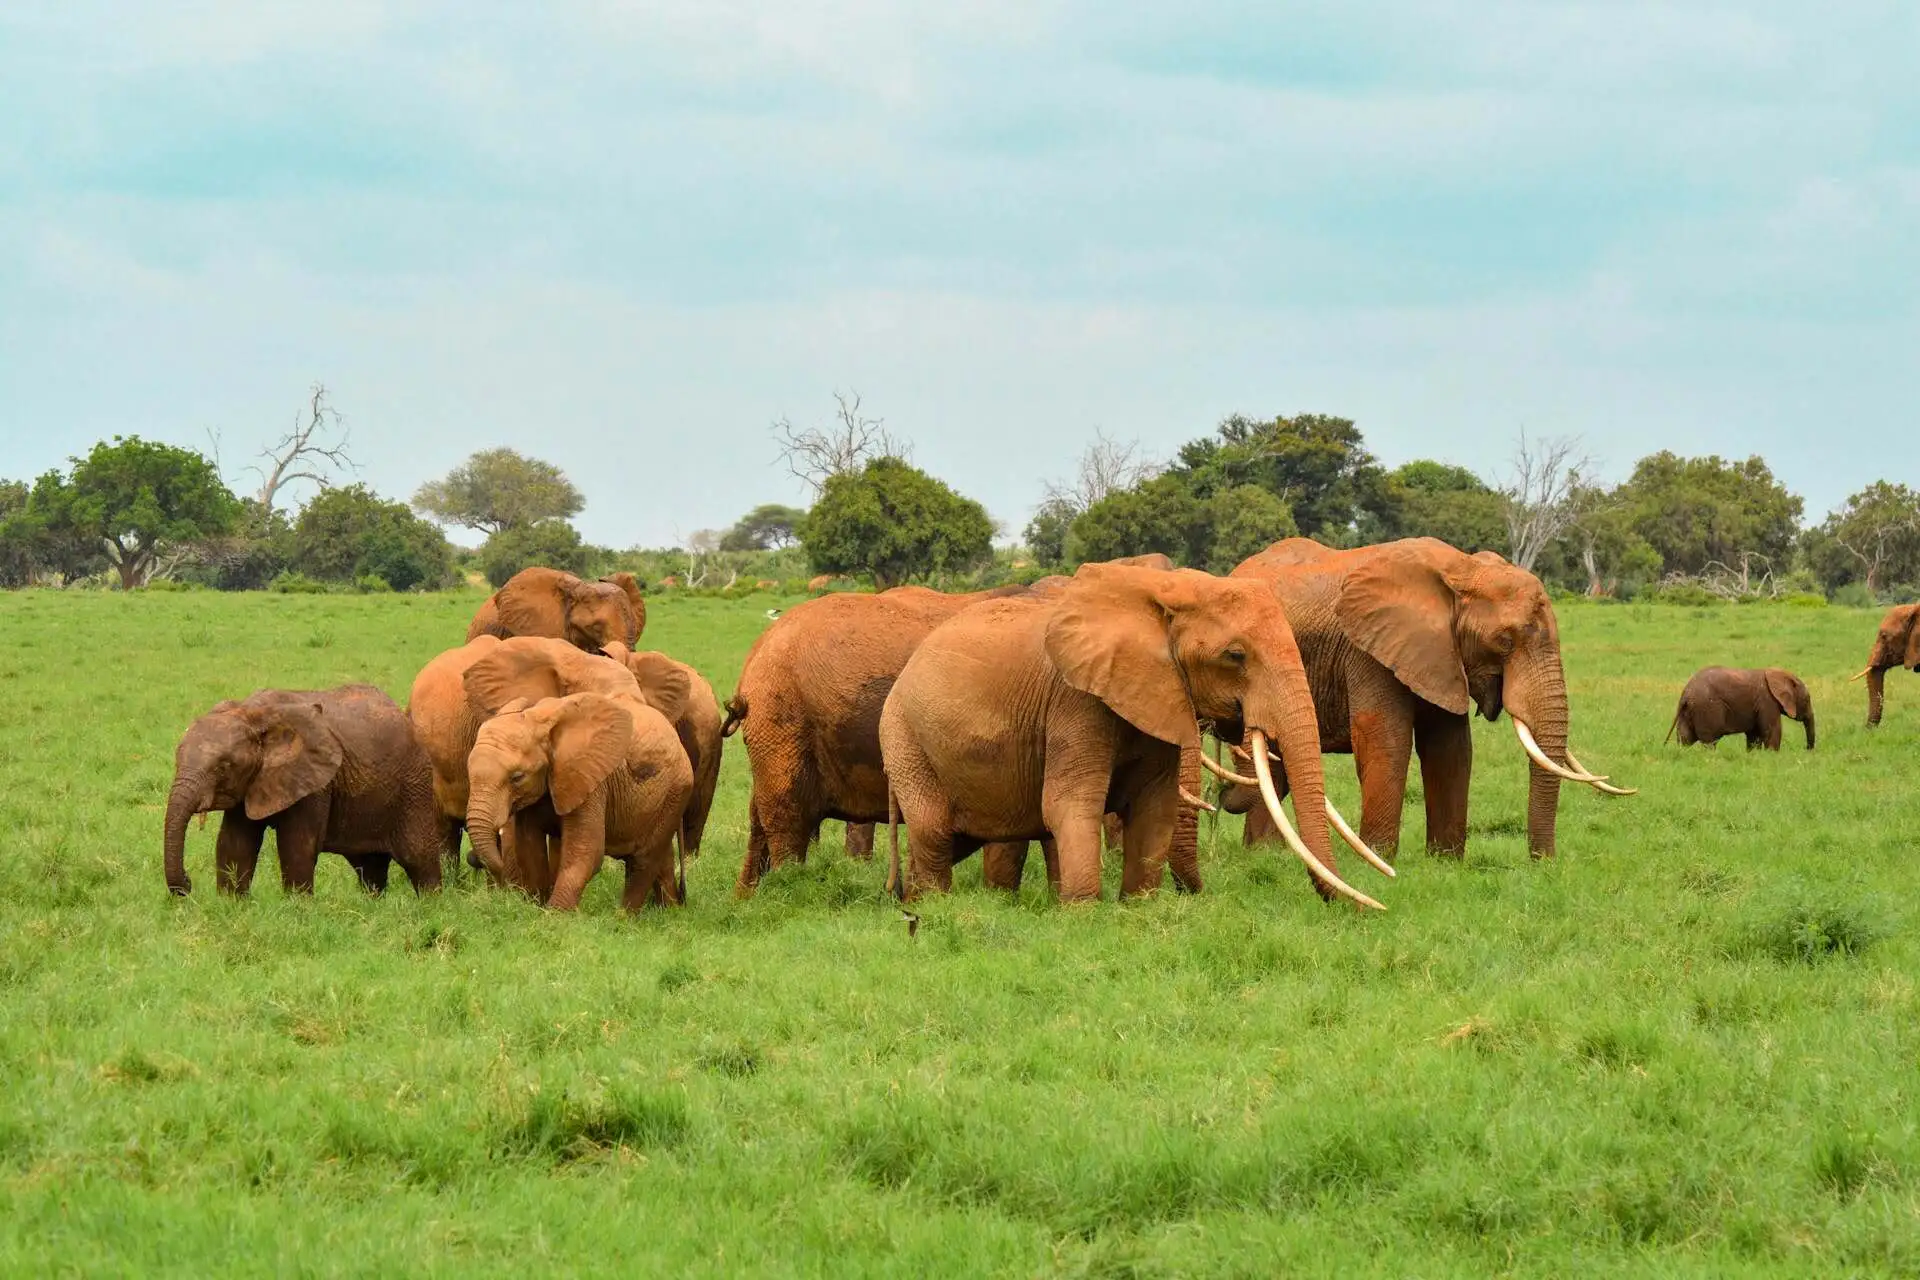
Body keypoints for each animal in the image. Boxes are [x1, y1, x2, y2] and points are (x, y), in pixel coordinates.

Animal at [162, 687, 445, 898]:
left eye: (223, 767)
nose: (188, 883)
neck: (252, 713)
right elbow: (234, 845)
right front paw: (231, 905)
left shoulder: (315, 783)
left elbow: (297, 846)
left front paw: (298, 910)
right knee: (369, 866)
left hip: (414, 784)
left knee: (419, 858)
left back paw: (430, 907)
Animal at [883, 564, 1382, 909]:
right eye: (1235, 656)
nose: (1362, 911)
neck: (1161, 595)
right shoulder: (1075, 699)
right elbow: (1070, 803)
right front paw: (1082, 913)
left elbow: (1154, 805)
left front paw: (1139, 906)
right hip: (903, 737)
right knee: (933, 828)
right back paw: (934, 908)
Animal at [1221, 537, 1628, 867]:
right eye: (1505, 642)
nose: (1544, 864)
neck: (1464, 569)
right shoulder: (1368, 650)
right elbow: (1386, 740)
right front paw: (1378, 860)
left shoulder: (1441, 655)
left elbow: (1450, 748)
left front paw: (1445, 863)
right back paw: (1265, 854)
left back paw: (1264, 854)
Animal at [1666, 671, 1812, 752]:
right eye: (1807, 700)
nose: (1806, 750)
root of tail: (1686, 693)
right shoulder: (1768, 701)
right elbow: (1772, 732)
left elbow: (1754, 735)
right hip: (1706, 710)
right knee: (1709, 741)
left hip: (1688, 712)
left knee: (1685, 739)